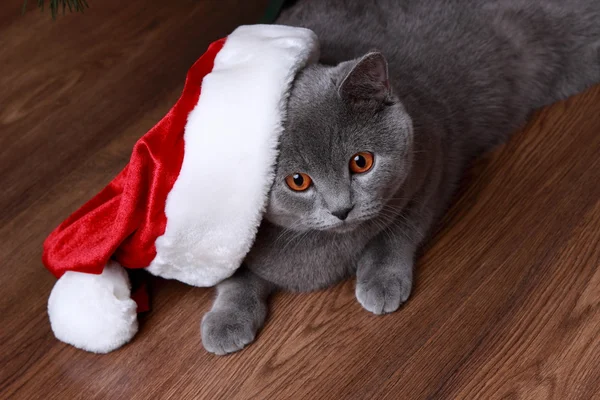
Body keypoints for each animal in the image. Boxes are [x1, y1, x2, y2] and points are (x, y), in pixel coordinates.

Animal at [200, 0, 600, 356]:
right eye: (298, 181)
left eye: (361, 162)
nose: (342, 209)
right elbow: (232, 277)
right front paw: (225, 322)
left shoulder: (434, 163)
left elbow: (397, 229)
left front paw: (381, 281)